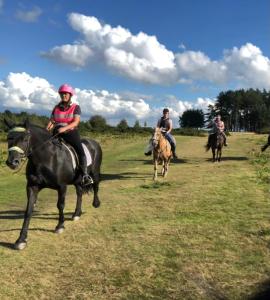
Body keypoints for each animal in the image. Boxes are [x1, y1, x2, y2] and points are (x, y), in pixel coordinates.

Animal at [3, 118, 103, 250]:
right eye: (8, 138)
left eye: (24, 138)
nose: (12, 162)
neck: (47, 158)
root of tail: (94, 142)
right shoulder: (32, 187)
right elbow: (28, 210)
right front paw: (21, 240)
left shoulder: (62, 186)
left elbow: (60, 205)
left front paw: (60, 226)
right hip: (77, 180)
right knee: (79, 193)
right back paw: (77, 214)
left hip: (94, 172)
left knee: (96, 186)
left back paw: (96, 203)